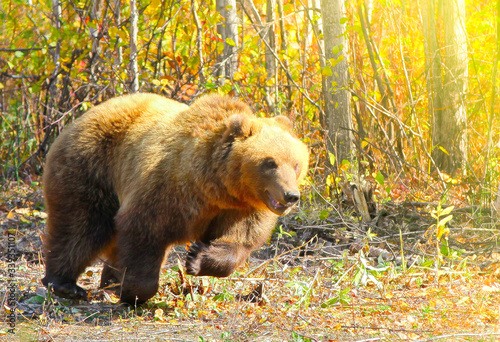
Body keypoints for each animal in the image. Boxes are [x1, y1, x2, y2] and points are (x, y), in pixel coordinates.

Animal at [43, 93, 308, 304]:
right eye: (270, 163)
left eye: (296, 164)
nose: (291, 195)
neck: (213, 186)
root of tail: (81, 117)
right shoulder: (167, 189)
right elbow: (144, 229)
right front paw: (133, 291)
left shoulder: (241, 208)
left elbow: (238, 239)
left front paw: (196, 257)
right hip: (93, 168)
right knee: (81, 227)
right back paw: (65, 284)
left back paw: (107, 281)